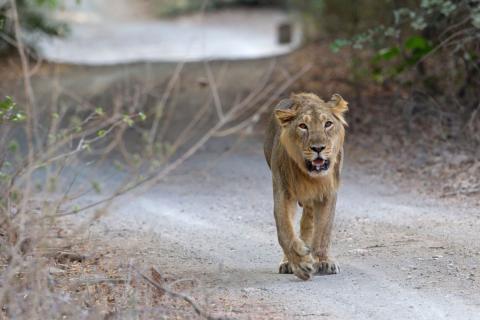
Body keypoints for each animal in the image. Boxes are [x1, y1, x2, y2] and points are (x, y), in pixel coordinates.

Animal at [262, 92, 348, 280]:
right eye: (303, 126)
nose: (318, 148)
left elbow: (323, 230)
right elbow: (285, 231)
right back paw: (288, 262)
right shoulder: (283, 192)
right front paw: (300, 264)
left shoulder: (328, 193)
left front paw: (323, 261)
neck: (310, 177)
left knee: (308, 224)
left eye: (328, 124)